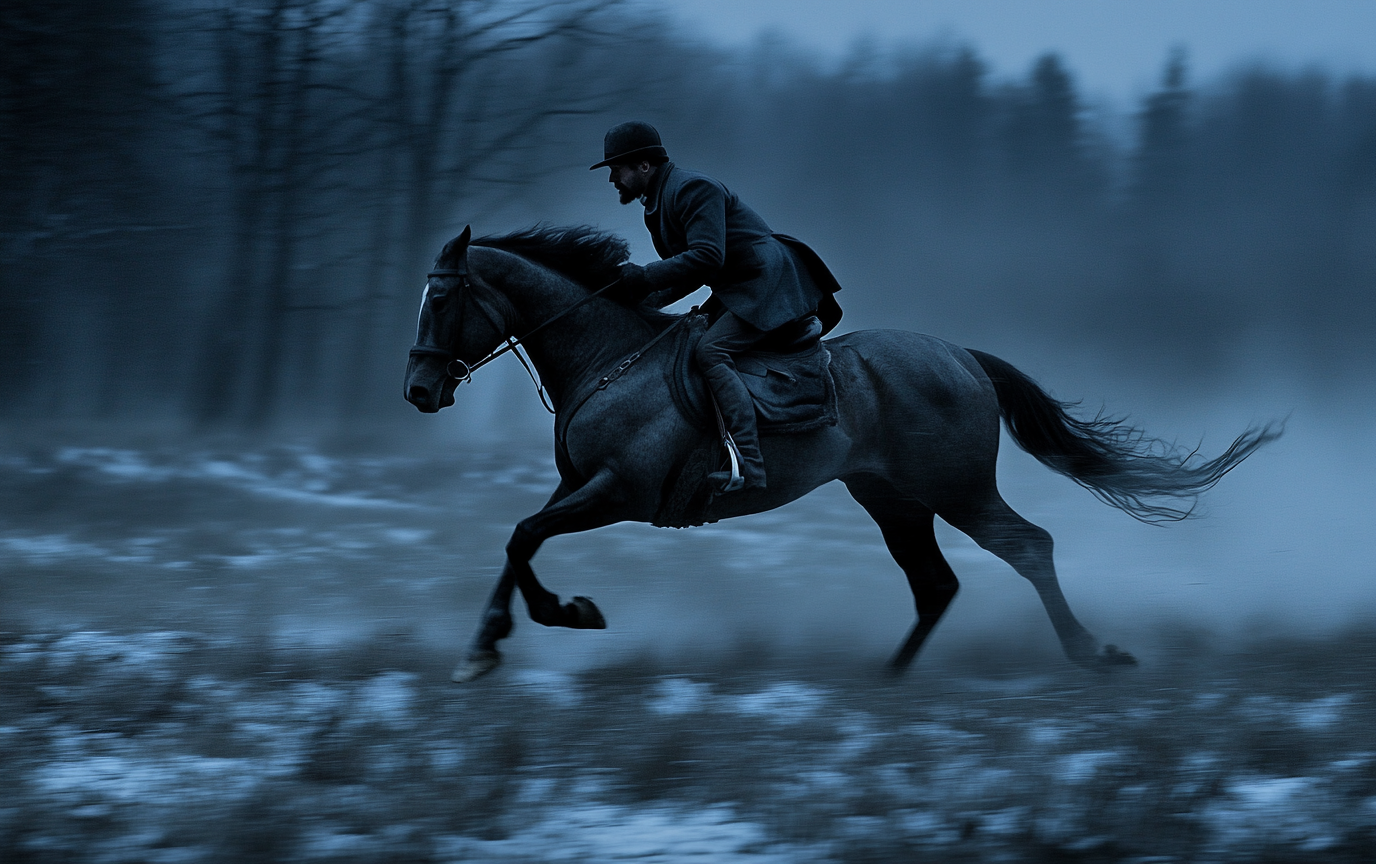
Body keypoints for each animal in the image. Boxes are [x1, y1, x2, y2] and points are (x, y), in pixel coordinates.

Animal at [401, 225, 1276, 685]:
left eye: (440, 297)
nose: (417, 390)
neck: (606, 356)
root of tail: (960, 355)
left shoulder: (618, 490)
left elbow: (523, 537)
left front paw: (547, 620)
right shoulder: (580, 487)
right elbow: (518, 541)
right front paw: (495, 640)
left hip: (954, 489)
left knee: (1027, 547)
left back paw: (1089, 651)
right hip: (892, 500)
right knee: (936, 582)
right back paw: (890, 677)